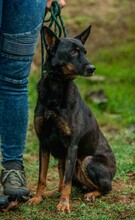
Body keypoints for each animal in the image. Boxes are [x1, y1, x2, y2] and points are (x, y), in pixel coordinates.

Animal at [29, 25, 116, 213]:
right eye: (73, 52)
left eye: (85, 51)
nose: (93, 68)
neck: (57, 86)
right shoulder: (43, 143)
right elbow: (42, 177)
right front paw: (38, 198)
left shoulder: (72, 146)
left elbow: (67, 181)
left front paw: (64, 204)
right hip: (64, 159)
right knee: (64, 180)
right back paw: (54, 192)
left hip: (88, 161)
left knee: (106, 187)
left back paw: (91, 194)